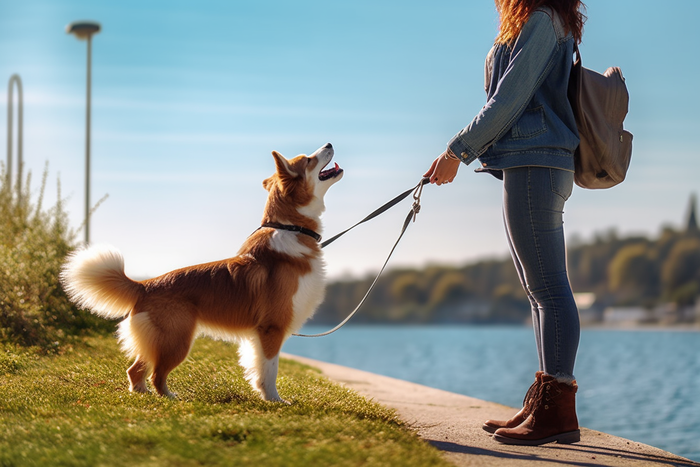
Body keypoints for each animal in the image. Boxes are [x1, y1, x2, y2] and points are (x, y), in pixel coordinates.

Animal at [60, 144, 344, 402]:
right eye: (308, 159)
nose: (329, 143)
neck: (292, 228)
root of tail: (145, 285)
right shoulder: (271, 328)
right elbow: (270, 370)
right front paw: (274, 400)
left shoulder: (258, 334)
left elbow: (259, 368)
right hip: (177, 341)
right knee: (156, 375)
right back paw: (169, 397)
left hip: (158, 341)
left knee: (135, 370)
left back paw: (142, 394)